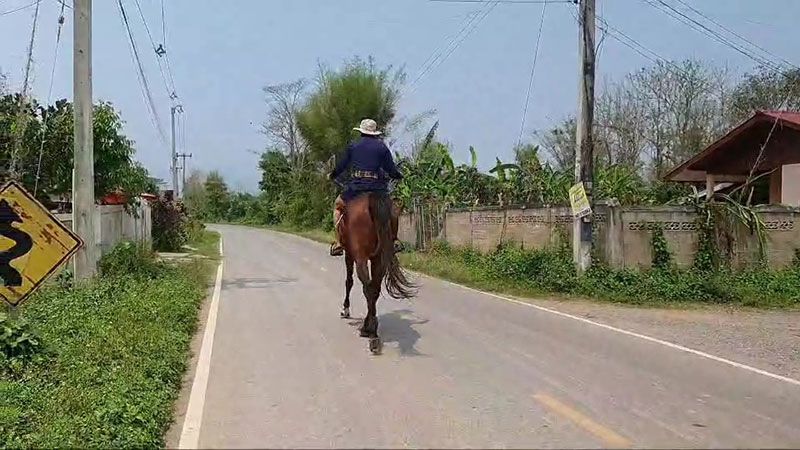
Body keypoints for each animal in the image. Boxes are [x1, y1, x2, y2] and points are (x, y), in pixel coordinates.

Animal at [336, 188, 416, 354]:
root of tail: (373, 198)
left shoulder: (349, 254)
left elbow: (349, 281)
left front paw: (345, 310)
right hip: (380, 257)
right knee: (374, 288)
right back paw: (371, 329)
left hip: (360, 256)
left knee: (367, 287)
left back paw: (370, 332)